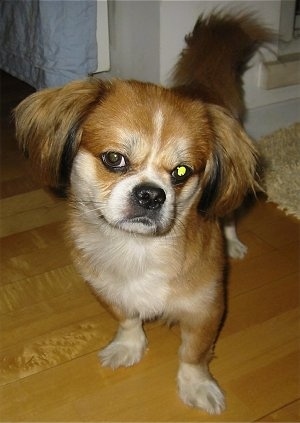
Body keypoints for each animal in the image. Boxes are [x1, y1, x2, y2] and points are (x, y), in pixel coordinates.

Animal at [14, 12, 270, 414]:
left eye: (181, 171)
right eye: (114, 159)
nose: (150, 195)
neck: (138, 249)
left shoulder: (206, 309)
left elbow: (193, 354)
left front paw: (197, 386)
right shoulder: (107, 289)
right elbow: (129, 318)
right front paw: (128, 347)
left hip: (231, 196)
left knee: (228, 213)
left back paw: (233, 244)